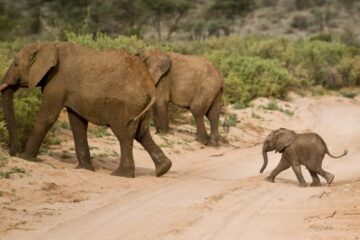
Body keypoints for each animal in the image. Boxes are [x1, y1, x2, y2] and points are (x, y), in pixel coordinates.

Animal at [0, 42, 172, 177]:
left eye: (15, 64)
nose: (12, 153)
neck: (48, 46)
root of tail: (150, 87)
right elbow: (77, 123)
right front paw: (85, 169)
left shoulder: (57, 81)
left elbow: (47, 117)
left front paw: (25, 158)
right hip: (140, 105)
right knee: (142, 133)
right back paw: (163, 169)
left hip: (126, 105)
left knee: (124, 135)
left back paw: (121, 174)